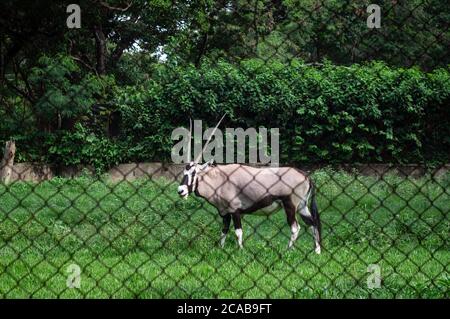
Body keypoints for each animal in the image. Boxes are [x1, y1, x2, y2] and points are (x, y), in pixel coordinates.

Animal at [178, 116, 322, 254]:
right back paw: (317, 251)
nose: (181, 190)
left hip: (290, 206)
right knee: (312, 223)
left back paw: (288, 250)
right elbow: (224, 231)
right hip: (302, 206)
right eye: (184, 172)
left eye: (194, 172)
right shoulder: (225, 212)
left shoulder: (235, 211)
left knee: (295, 228)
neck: (219, 179)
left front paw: (241, 251)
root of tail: (306, 176)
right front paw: (221, 249)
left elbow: (238, 232)